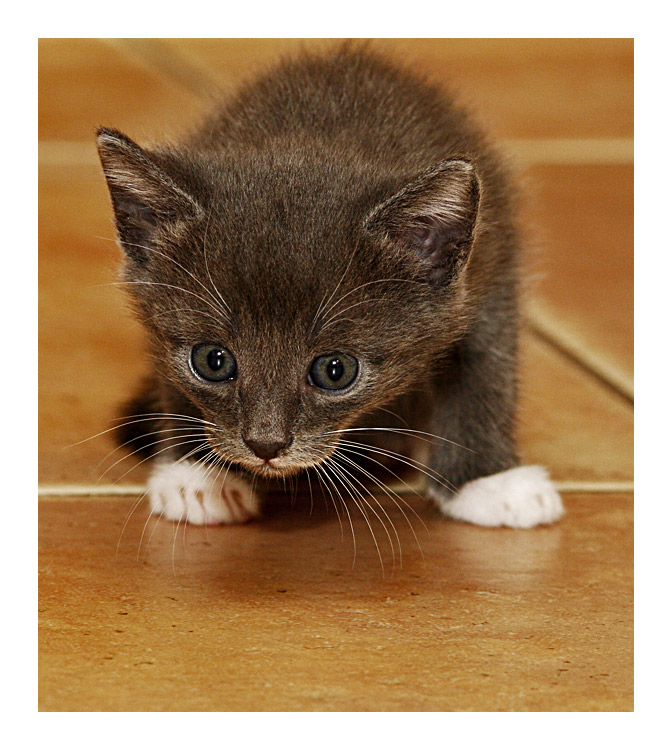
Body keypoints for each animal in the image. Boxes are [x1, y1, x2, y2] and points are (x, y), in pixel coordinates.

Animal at [97, 44, 564, 532]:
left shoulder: (493, 264)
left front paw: (488, 482)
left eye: (334, 370)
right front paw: (198, 477)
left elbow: (486, 365)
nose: (266, 445)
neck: (315, 133)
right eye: (212, 361)